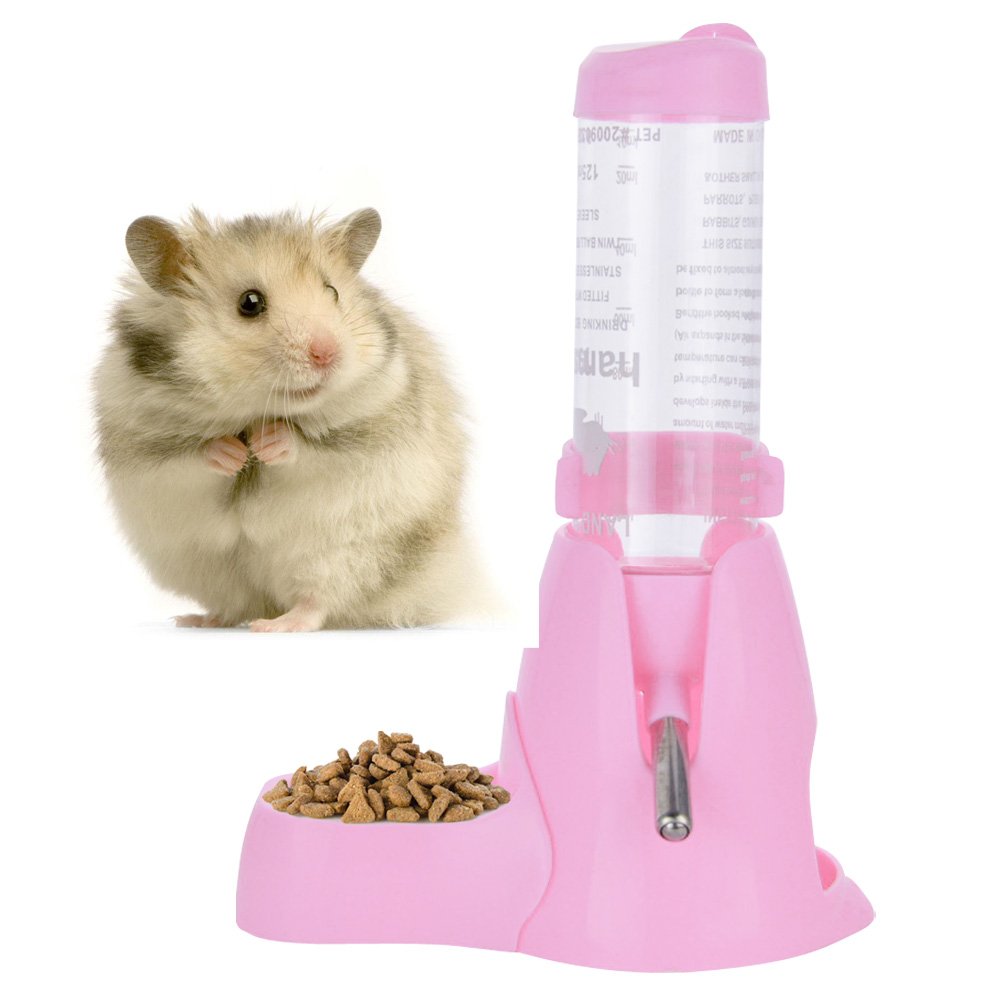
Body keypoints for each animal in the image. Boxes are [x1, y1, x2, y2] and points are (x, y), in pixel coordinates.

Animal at [93, 207, 486, 631]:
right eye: (250, 303)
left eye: (333, 292)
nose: (327, 354)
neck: (253, 411)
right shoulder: (142, 448)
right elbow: (191, 457)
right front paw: (233, 453)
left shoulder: (370, 429)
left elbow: (308, 449)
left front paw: (267, 443)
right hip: (206, 568)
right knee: (237, 605)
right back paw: (197, 619)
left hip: (346, 555)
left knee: (318, 602)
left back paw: (276, 626)